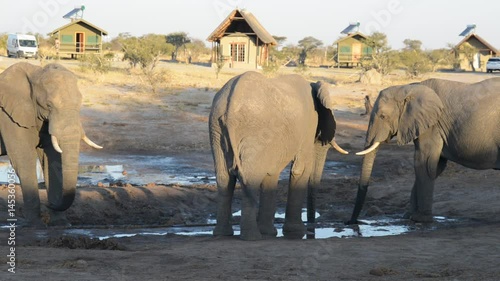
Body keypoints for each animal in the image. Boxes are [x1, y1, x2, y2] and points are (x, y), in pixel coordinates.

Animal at [0, 62, 102, 226]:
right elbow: (23, 159)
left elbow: (52, 158)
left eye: (80, 104)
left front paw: (61, 224)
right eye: (48, 105)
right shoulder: (8, 117)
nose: (49, 204)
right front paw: (36, 225)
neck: (36, 73)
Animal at [208, 71, 348, 240]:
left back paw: (223, 234)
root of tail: (231, 102)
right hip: (256, 131)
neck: (313, 85)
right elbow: (301, 169)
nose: (312, 230)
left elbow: (271, 173)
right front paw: (295, 233)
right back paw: (252, 237)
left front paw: (270, 233)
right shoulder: (308, 126)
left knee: (224, 178)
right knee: (250, 177)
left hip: (216, 130)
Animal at [348, 76, 500, 223]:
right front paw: (408, 216)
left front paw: (420, 219)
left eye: (383, 116)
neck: (408, 88)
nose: (351, 223)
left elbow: (424, 163)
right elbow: (435, 167)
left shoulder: (432, 126)